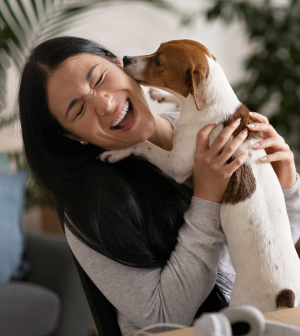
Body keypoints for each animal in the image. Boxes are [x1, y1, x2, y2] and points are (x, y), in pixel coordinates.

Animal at [99, 39, 300, 312]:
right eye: (156, 49)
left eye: (159, 61)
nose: (127, 58)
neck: (217, 104)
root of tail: (285, 297)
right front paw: (162, 95)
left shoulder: (178, 164)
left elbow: (143, 144)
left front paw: (118, 152)